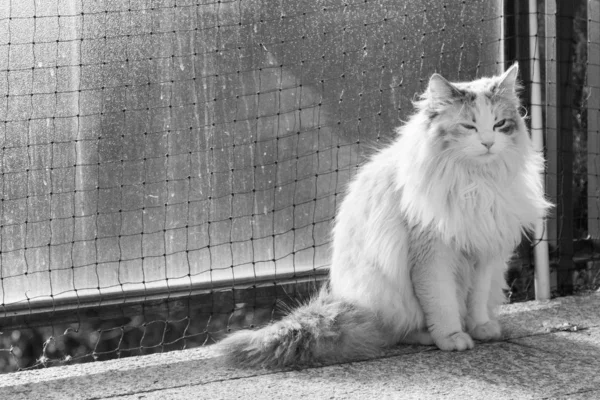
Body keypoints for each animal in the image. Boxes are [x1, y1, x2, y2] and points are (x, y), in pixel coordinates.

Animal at [218, 63, 552, 368]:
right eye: (469, 127)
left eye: (499, 124)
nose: (488, 143)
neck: (476, 182)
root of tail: (343, 300)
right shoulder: (432, 255)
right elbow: (442, 303)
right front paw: (452, 338)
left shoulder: (485, 252)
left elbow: (477, 301)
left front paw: (480, 328)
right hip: (388, 292)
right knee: (395, 332)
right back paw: (428, 336)